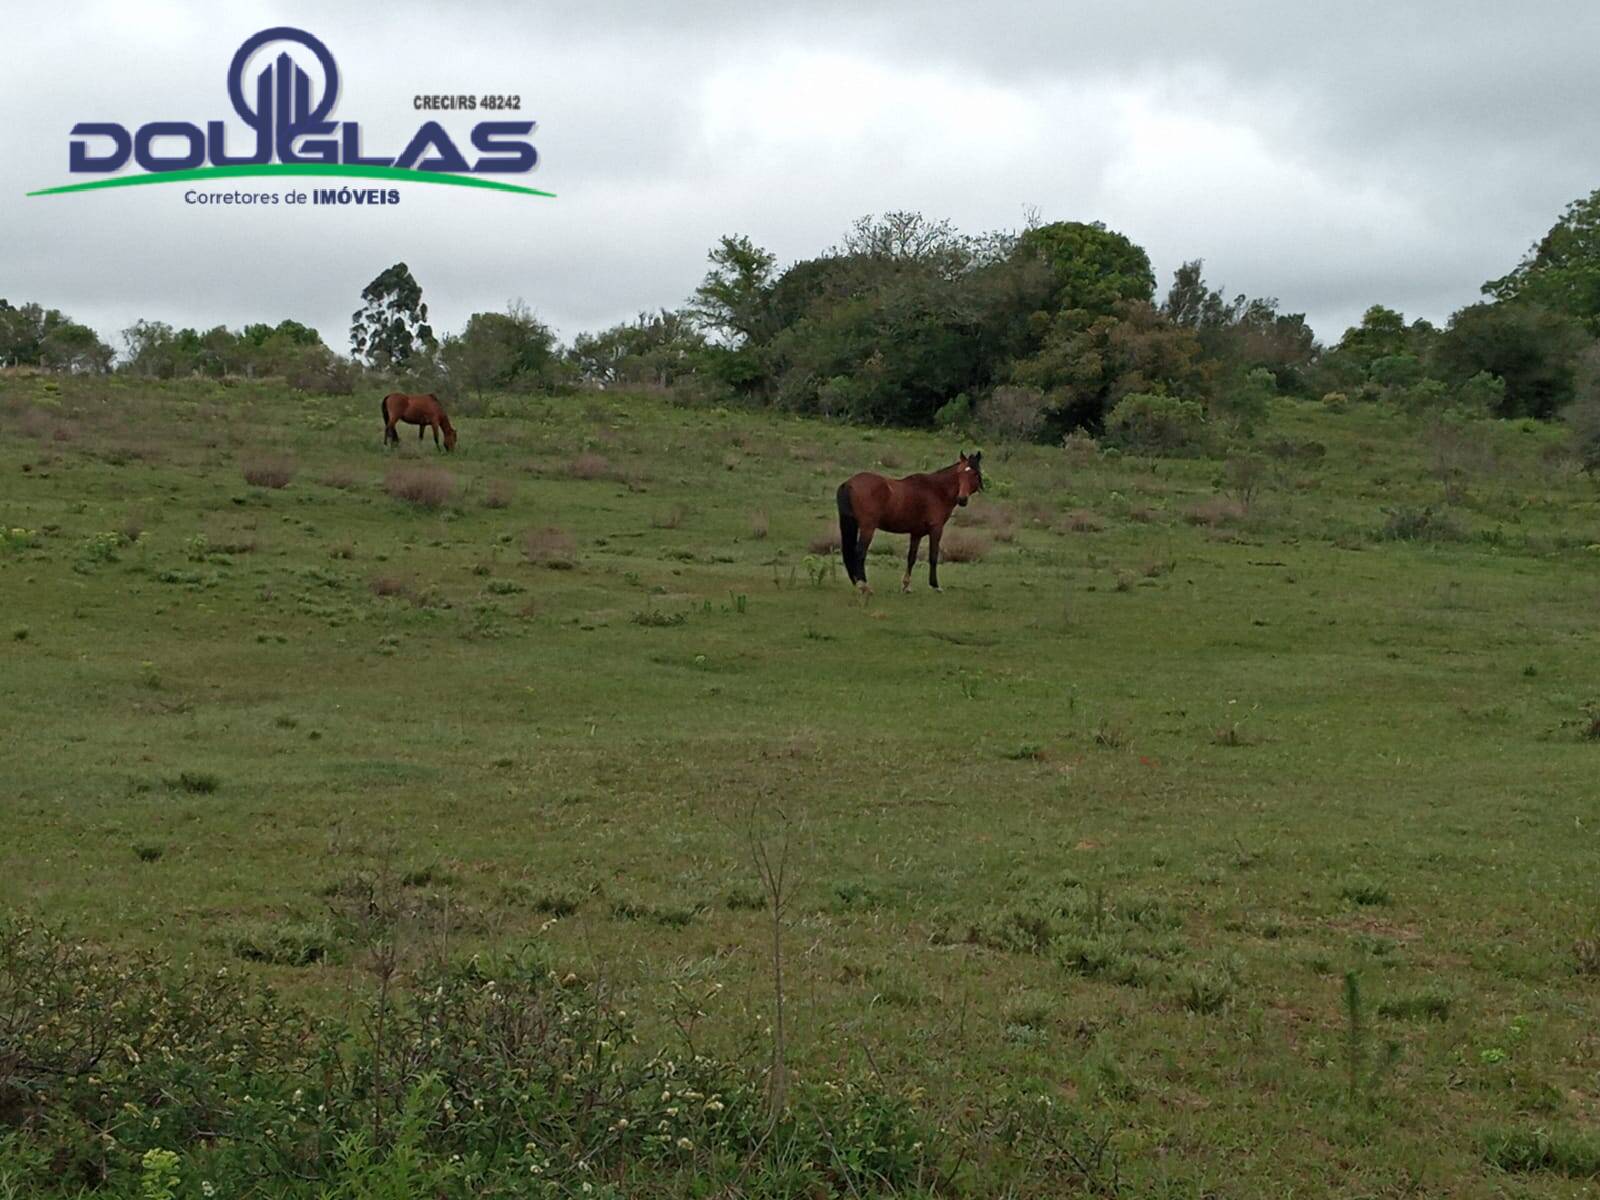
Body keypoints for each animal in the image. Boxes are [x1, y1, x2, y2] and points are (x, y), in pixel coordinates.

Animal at [832, 454, 979, 595]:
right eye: (959, 473)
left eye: (974, 474)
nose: (962, 499)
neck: (936, 490)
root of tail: (849, 483)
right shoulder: (936, 530)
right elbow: (933, 556)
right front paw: (935, 586)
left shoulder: (916, 533)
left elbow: (911, 558)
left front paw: (906, 586)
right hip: (867, 528)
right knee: (859, 553)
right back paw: (864, 586)